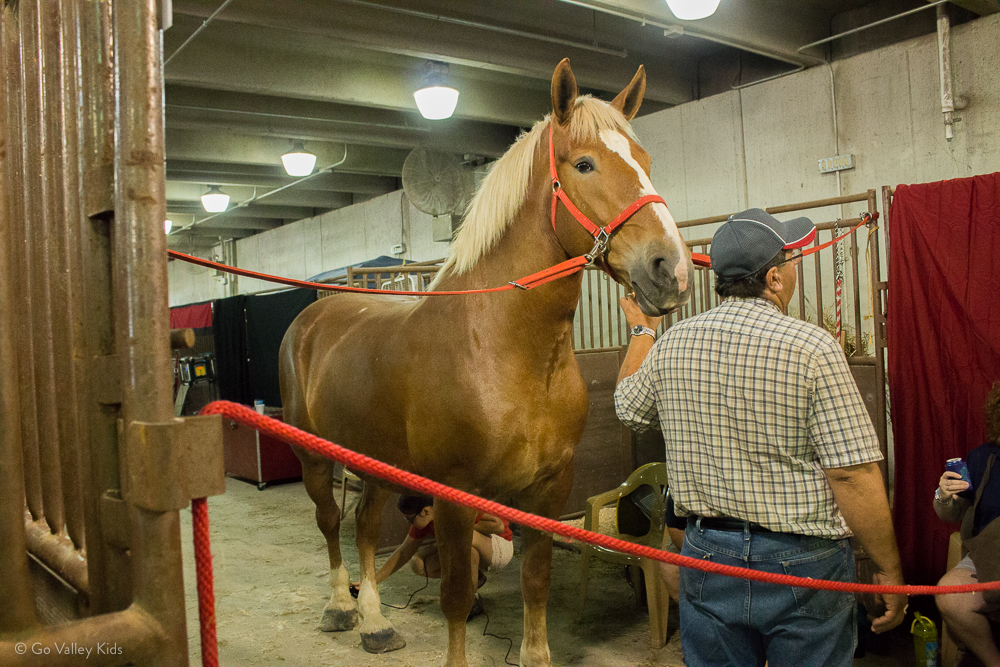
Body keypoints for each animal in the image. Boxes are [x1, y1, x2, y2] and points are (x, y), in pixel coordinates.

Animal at [278, 58, 692, 667]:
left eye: (644, 161)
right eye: (584, 164)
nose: (672, 270)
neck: (501, 347)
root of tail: (312, 317)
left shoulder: (550, 488)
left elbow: (535, 584)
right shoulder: (453, 496)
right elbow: (453, 596)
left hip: (376, 462)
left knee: (365, 526)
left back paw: (375, 623)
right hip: (313, 454)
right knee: (331, 522)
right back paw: (339, 608)